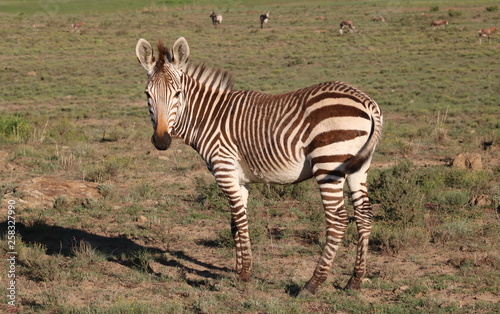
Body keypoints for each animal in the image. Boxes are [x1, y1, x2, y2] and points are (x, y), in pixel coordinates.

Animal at [136, 37, 382, 296]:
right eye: (147, 94)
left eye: (178, 93)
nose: (161, 141)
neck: (208, 117)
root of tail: (366, 101)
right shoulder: (239, 180)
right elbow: (235, 223)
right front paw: (239, 269)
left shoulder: (224, 170)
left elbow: (240, 221)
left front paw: (244, 274)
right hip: (359, 167)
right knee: (364, 214)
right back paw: (355, 279)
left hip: (329, 165)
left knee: (337, 220)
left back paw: (313, 283)